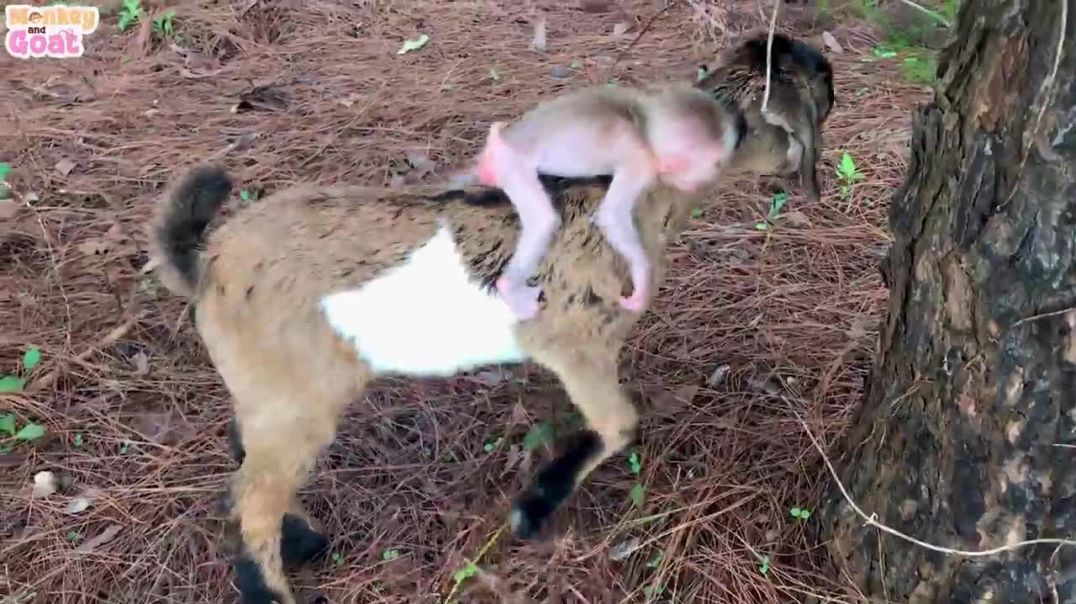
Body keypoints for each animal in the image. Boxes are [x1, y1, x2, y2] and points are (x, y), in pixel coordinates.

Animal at [470, 85, 746, 319]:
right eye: (712, 167)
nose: (699, 185)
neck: (643, 128)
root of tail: (501, 142)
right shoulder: (639, 163)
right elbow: (612, 215)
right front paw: (643, 279)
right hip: (511, 164)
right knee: (543, 220)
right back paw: (509, 287)